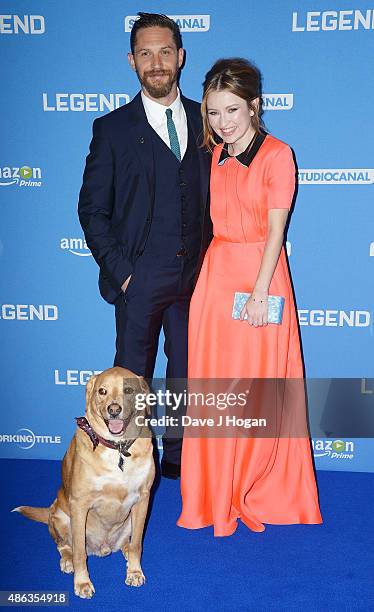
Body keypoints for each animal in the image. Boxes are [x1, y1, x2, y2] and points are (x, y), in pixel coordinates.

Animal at [12, 368, 155, 596]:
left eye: (128, 390)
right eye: (102, 391)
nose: (114, 410)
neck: (117, 448)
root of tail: (104, 548)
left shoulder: (143, 499)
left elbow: (137, 545)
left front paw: (134, 571)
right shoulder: (80, 505)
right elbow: (79, 552)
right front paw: (82, 582)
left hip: (129, 522)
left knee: (129, 542)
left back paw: (124, 550)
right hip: (60, 517)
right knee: (64, 546)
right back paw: (67, 561)